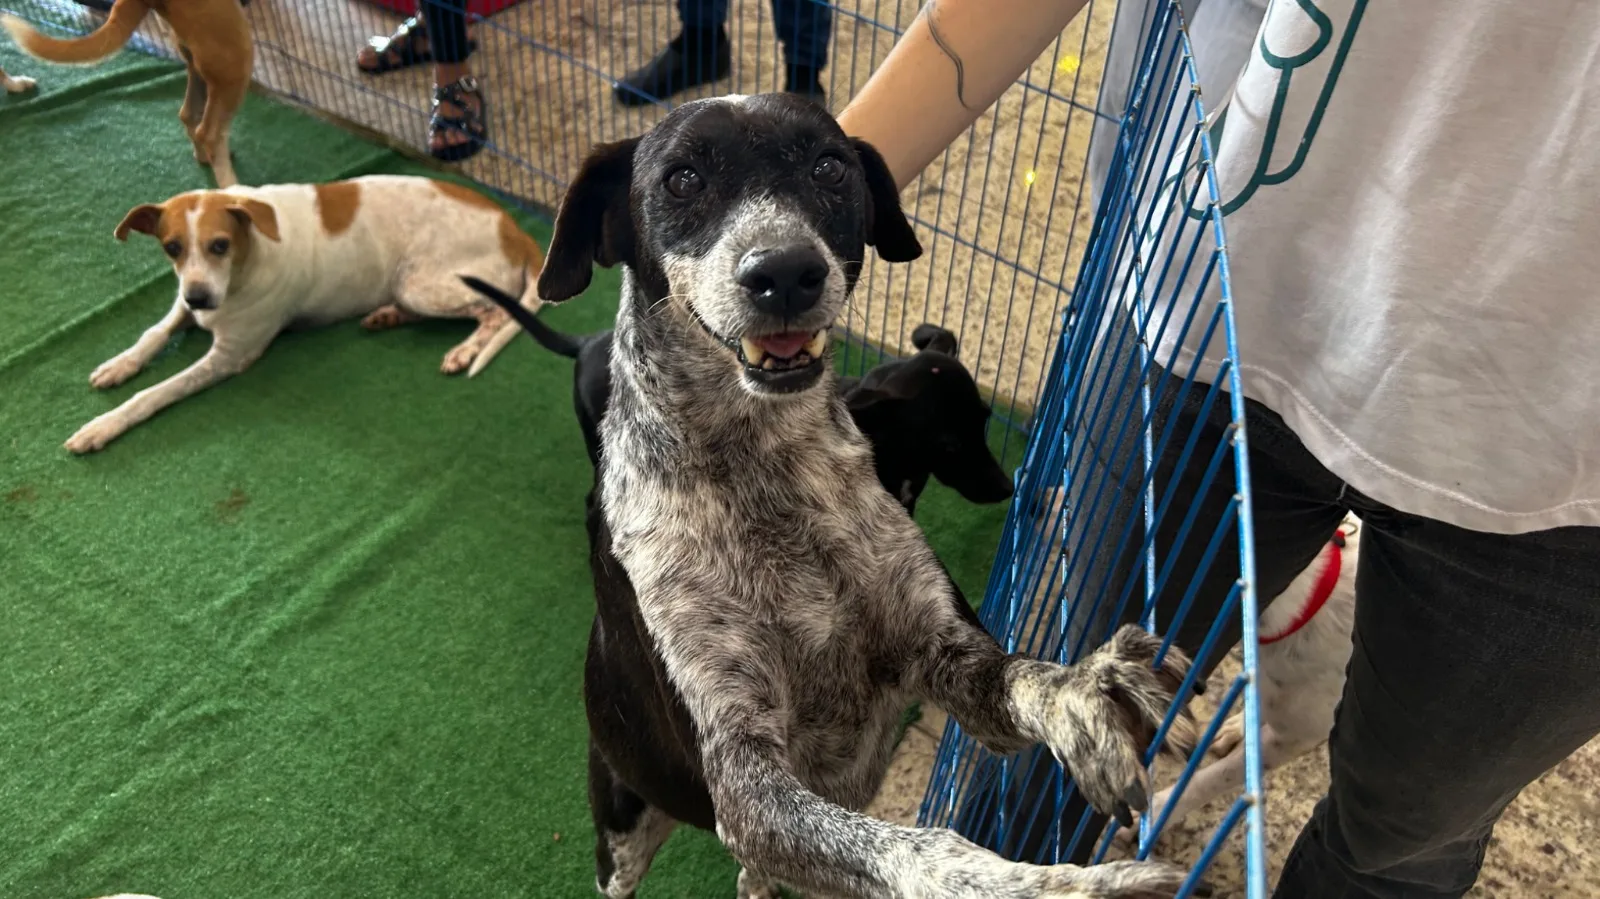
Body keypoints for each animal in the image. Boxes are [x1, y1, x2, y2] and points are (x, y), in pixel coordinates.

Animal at [65, 173, 544, 454]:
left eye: (220, 245)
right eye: (171, 248)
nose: (200, 300)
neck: (250, 254)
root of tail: (516, 230)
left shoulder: (230, 356)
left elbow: (155, 393)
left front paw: (102, 425)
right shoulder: (183, 301)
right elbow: (153, 334)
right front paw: (120, 364)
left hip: (422, 284)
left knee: (496, 314)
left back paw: (464, 350)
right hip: (409, 286)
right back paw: (387, 317)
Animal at [531, 92, 1203, 895]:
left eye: (829, 166)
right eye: (682, 178)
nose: (785, 271)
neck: (764, 471)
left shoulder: (949, 655)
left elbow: (1027, 675)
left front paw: (1089, 686)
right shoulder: (746, 782)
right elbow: (928, 849)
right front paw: (1058, 885)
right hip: (625, 826)